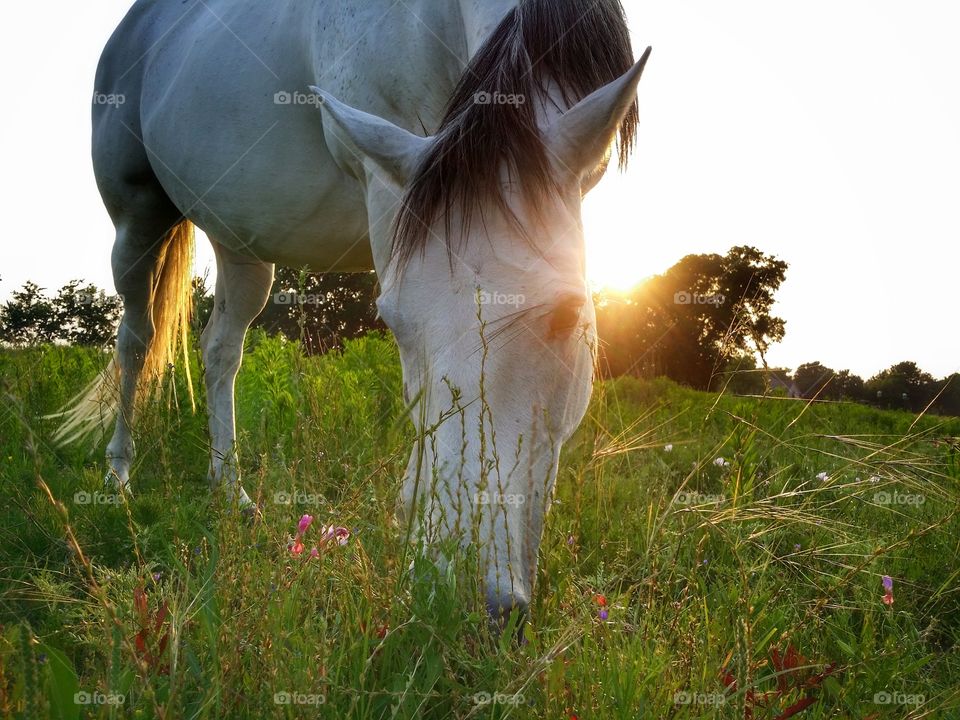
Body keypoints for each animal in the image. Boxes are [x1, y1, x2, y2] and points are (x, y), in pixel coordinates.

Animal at [60, 0, 652, 620]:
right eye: (393, 321)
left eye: (570, 316)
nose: (463, 598)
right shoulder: (386, 184)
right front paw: (412, 529)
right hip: (137, 217)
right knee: (136, 340)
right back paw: (118, 475)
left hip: (238, 241)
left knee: (220, 350)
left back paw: (231, 492)